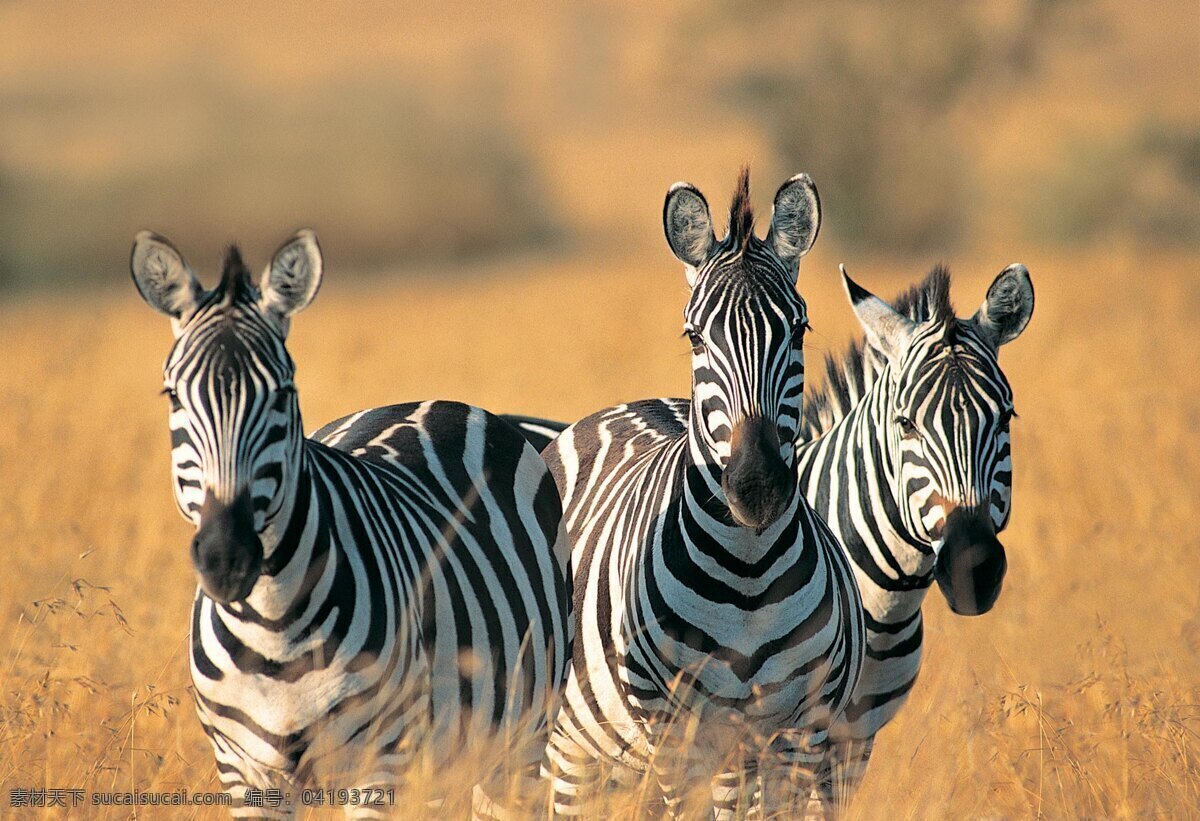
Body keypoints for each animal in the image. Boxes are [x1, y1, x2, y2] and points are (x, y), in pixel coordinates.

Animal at [131, 228, 571, 816]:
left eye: (283, 394)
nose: (227, 559)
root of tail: (438, 401)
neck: (274, 630)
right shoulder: (244, 773)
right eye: (173, 395)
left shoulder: (380, 763)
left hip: (517, 741)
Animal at [535, 170, 864, 816]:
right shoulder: (676, 731)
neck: (749, 574)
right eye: (693, 338)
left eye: (800, 330)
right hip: (575, 747)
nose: (756, 488)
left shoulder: (799, 730)